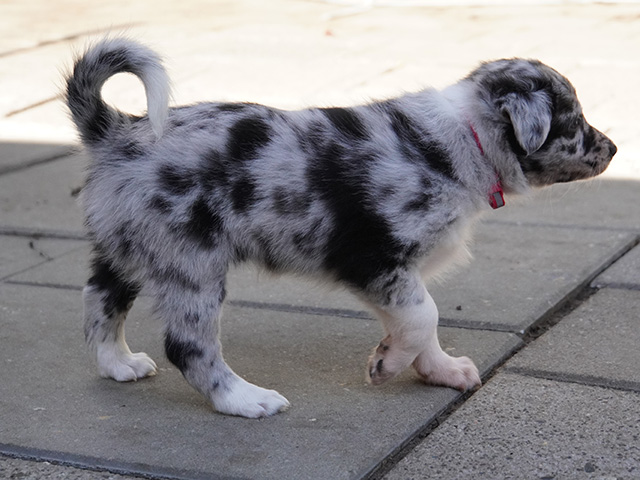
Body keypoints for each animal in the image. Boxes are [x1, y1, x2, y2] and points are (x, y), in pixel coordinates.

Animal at [66, 38, 616, 418]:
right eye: (574, 121)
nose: (613, 148)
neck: (464, 140)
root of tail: (116, 130)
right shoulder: (375, 258)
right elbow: (425, 315)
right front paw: (387, 365)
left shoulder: (405, 271)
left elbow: (422, 321)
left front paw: (438, 369)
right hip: (190, 261)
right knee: (187, 344)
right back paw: (245, 399)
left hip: (130, 246)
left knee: (99, 299)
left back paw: (119, 364)